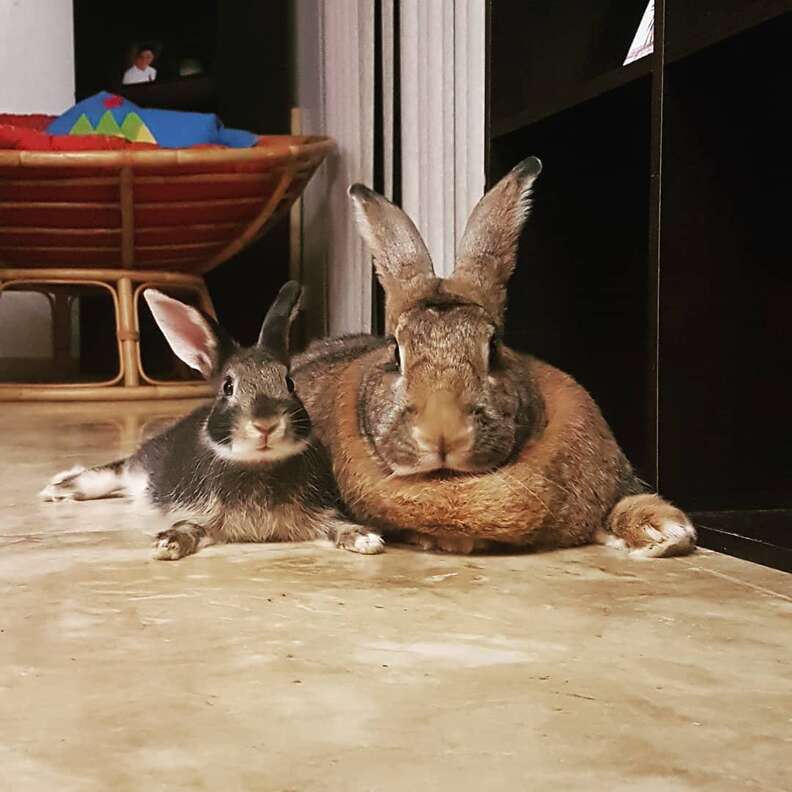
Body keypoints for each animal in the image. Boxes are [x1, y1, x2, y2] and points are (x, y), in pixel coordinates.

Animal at [39, 281, 384, 561]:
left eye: (289, 383)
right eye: (228, 387)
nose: (266, 425)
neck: (258, 465)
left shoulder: (317, 515)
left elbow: (336, 526)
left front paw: (366, 539)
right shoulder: (202, 516)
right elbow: (189, 526)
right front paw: (167, 544)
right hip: (144, 467)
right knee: (113, 471)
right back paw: (57, 488)